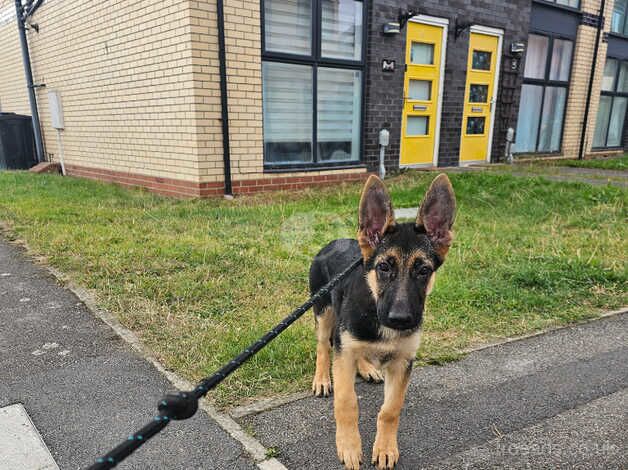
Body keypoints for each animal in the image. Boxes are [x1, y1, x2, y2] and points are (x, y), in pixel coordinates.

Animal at [310, 174, 454, 468]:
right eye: (384, 267)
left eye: (423, 270)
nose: (400, 319)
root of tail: (331, 242)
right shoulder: (344, 353)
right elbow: (347, 402)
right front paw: (349, 446)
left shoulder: (402, 362)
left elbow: (390, 409)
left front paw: (385, 448)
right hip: (324, 312)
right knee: (323, 346)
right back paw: (321, 379)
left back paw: (367, 368)